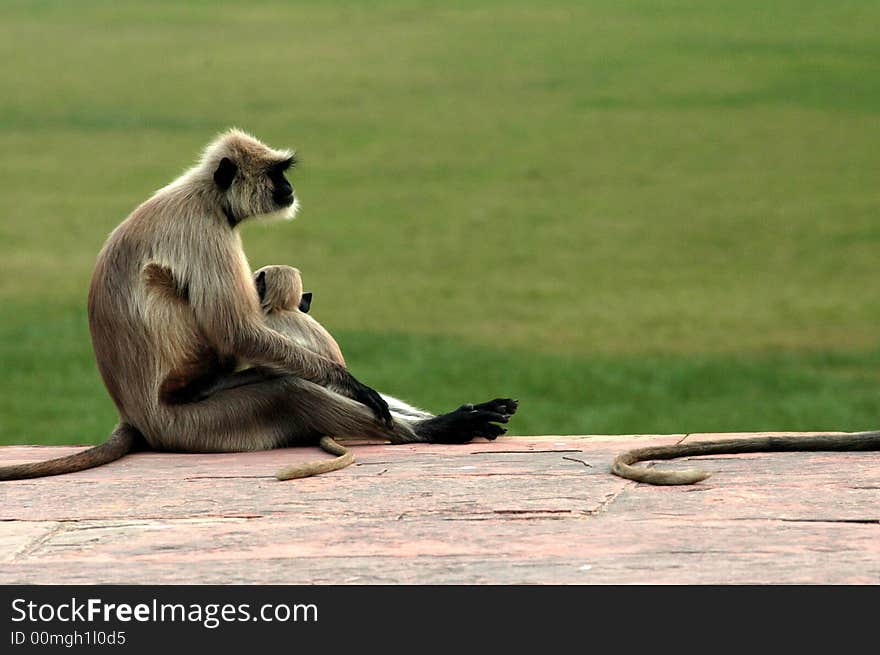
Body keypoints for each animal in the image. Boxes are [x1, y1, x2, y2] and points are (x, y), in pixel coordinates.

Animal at [0, 128, 516, 482]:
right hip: (195, 425)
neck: (205, 195)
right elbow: (237, 331)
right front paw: (356, 386)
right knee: (287, 390)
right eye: (276, 173)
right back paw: (439, 429)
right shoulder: (206, 232)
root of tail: (135, 416)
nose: (288, 189)